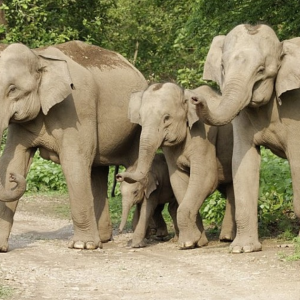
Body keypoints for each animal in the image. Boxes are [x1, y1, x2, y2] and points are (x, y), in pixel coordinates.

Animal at [0, 40, 146, 251]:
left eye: (13, 89)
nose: (13, 178)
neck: (39, 56)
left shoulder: (76, 108)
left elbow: (73, 163)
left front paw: (82, 245)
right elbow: (13, 160)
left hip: (138, 128)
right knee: (96, 172)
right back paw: (103, 239)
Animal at [116, 83, 236, 250]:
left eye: (167, 118)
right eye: (140, 118)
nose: (119, 176)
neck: (184, 94)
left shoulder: (204, 135)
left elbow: (206, 178)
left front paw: (187, 243)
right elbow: (178, 180)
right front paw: (197, 242)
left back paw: (227, 238)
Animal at [190, 22, 300, 253]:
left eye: (261, 70)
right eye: (222, 67)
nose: (196, 98)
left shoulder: (296, 109)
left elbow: (297, 161)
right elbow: (243, 161)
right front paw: (242, 249)